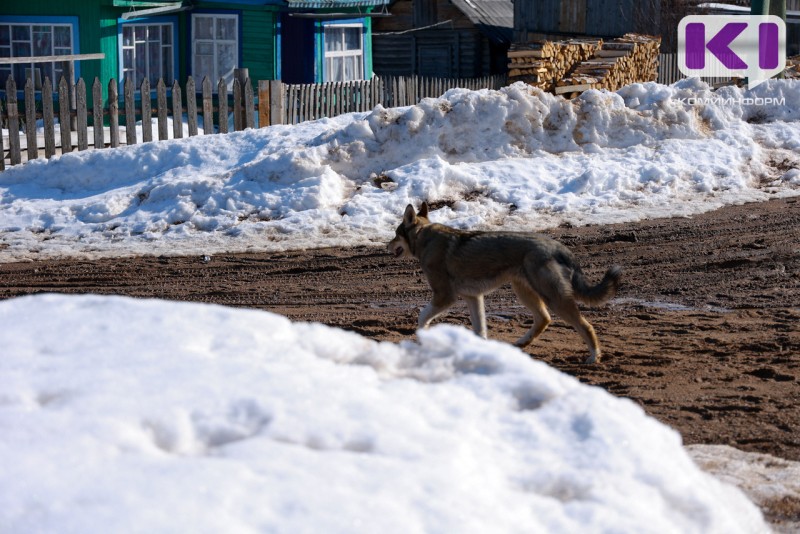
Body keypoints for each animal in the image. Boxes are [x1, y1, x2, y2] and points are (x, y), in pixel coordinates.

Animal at [390, 203, 620, 366]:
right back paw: (522, 343)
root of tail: (558, 246)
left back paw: (594, 357)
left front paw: (422, 337)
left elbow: (422, 317)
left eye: (395, 234)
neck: (424, 238)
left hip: (552, 298)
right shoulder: (473, 298)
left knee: (585, 326)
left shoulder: (444, 296)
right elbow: (480, 330)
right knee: (543, 319)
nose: (386, 245)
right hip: (525, 291)